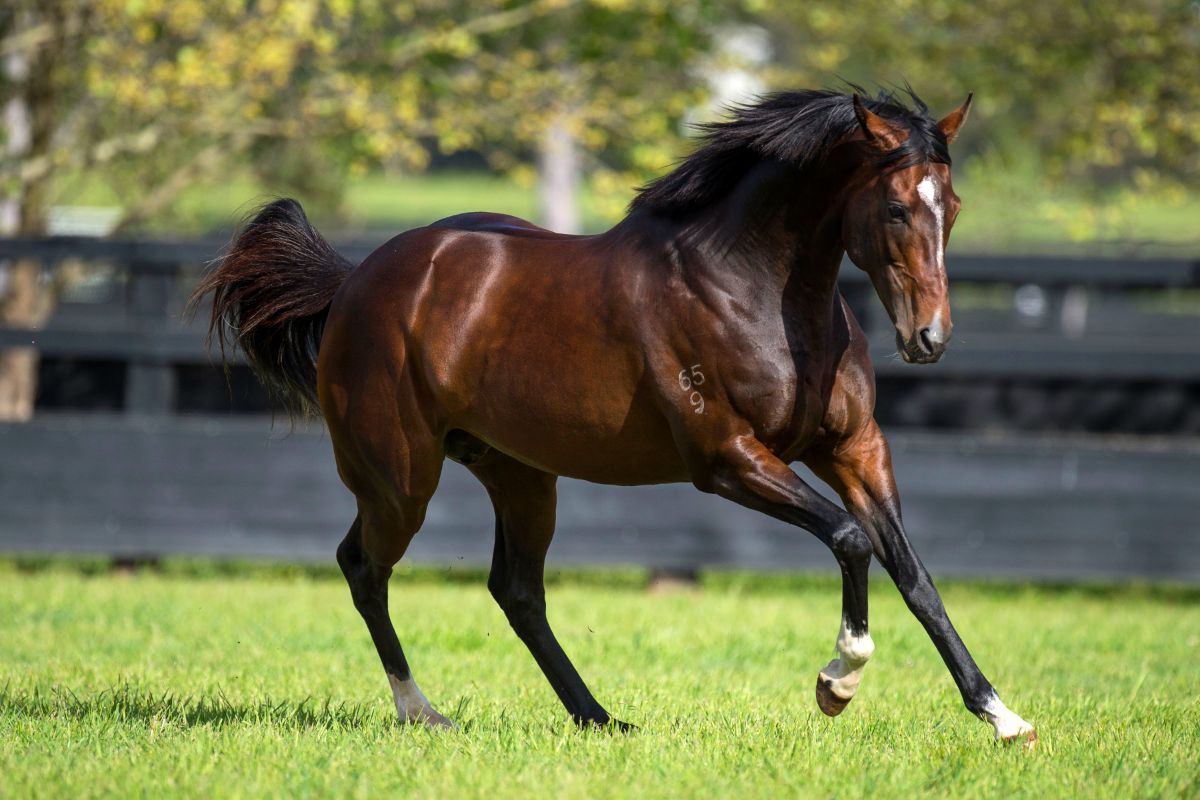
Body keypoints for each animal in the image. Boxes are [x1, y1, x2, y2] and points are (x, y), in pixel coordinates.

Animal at [193, 88, 1036, 745]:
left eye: (952, 206)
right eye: (895, 207)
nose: (929, 339)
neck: (752, 289)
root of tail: (357, 280)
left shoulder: (855, 449)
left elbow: (914, 575)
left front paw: (1003, 717)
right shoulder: (728, 460)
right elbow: (852, 540)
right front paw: (839, 682)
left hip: (519, 474)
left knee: (516, 592)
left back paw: (599, 718)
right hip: (400, 478)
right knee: (364, 568)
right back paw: (422, 712)